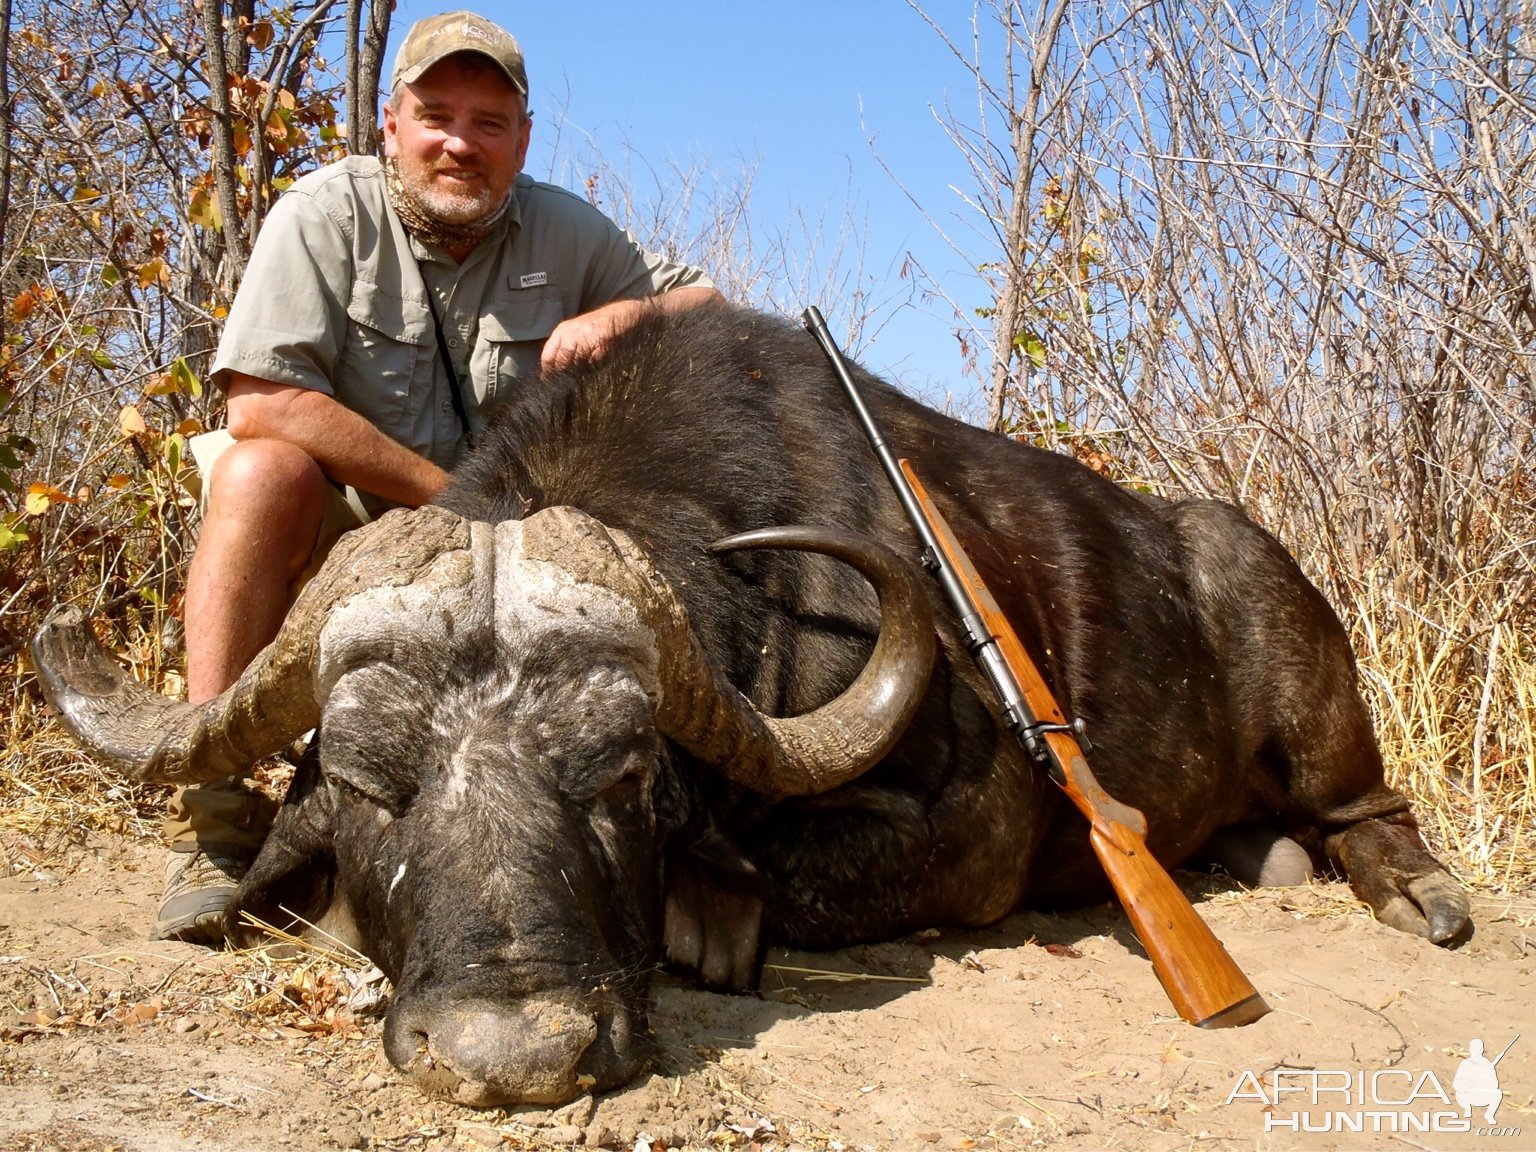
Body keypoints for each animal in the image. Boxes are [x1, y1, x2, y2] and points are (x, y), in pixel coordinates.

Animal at [36, 304, 1468, 1112]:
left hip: (1312, 694)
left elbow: (742, 885)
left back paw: (1422, 894)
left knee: (1367, 805)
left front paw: (709, 911)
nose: (515, 1053)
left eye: (621, 779)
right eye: (369, 782)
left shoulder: (981, 842)